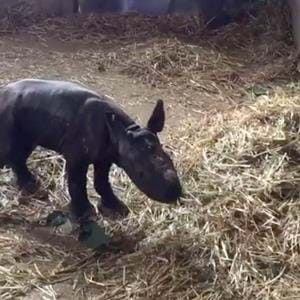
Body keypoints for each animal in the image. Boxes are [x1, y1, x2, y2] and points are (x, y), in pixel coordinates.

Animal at [0, 78, 182, 221]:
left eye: (171, 160)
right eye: (140, 173)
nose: (174, 192)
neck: (124, 134)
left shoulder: (106, 156)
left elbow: (102, 181)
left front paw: (117, 209)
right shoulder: (77, 156)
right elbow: (77, 182)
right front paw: (84, 213)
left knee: (20, 151)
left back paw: (30, 186)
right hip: (9, 115)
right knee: (11, 150)